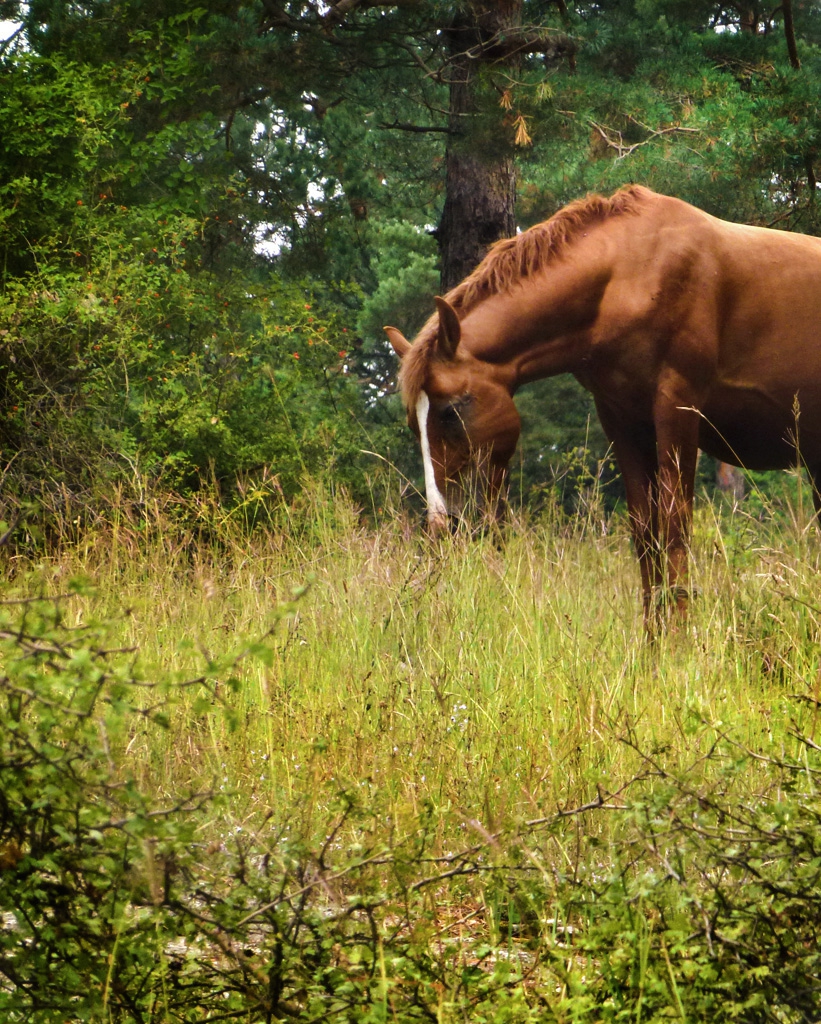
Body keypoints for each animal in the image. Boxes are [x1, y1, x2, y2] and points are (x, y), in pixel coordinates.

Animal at [386, 186, 818, 622]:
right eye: (414, 424)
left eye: (450, 411)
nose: (442, 525)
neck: (629, 276)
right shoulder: (622, 420)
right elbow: (645, 533)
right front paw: (656, 635)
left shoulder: (677, 410)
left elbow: (675, 529)